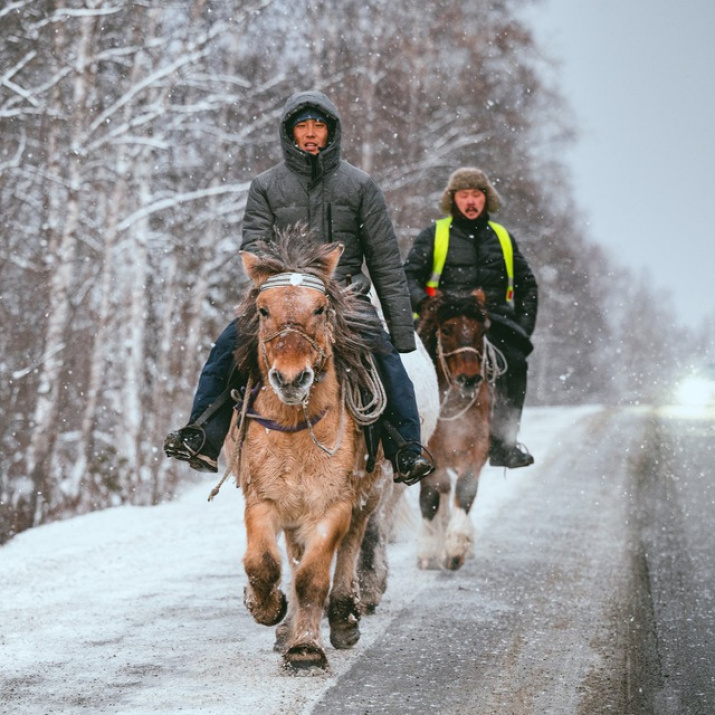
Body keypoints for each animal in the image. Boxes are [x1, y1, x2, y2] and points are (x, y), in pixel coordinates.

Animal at [220, 228, 436, 672]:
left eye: (320, 308)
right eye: (263, 310)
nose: (290, 379)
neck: (295, 427)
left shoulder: (333, 505)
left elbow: (313, 576)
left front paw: (305, 648)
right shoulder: (264, 500)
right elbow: (263, 563)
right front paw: (267, 608)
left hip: (369, 495)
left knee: (352, 546)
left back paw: (342, 616)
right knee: (293, 553)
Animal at [414, 290, 504, 572]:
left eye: (482, 329)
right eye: (446, 329)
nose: (470, 379)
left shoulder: (475, 454)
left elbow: (465, 491)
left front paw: (454, 550)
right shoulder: (429, 457)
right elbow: (431, 497)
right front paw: (428, 552)